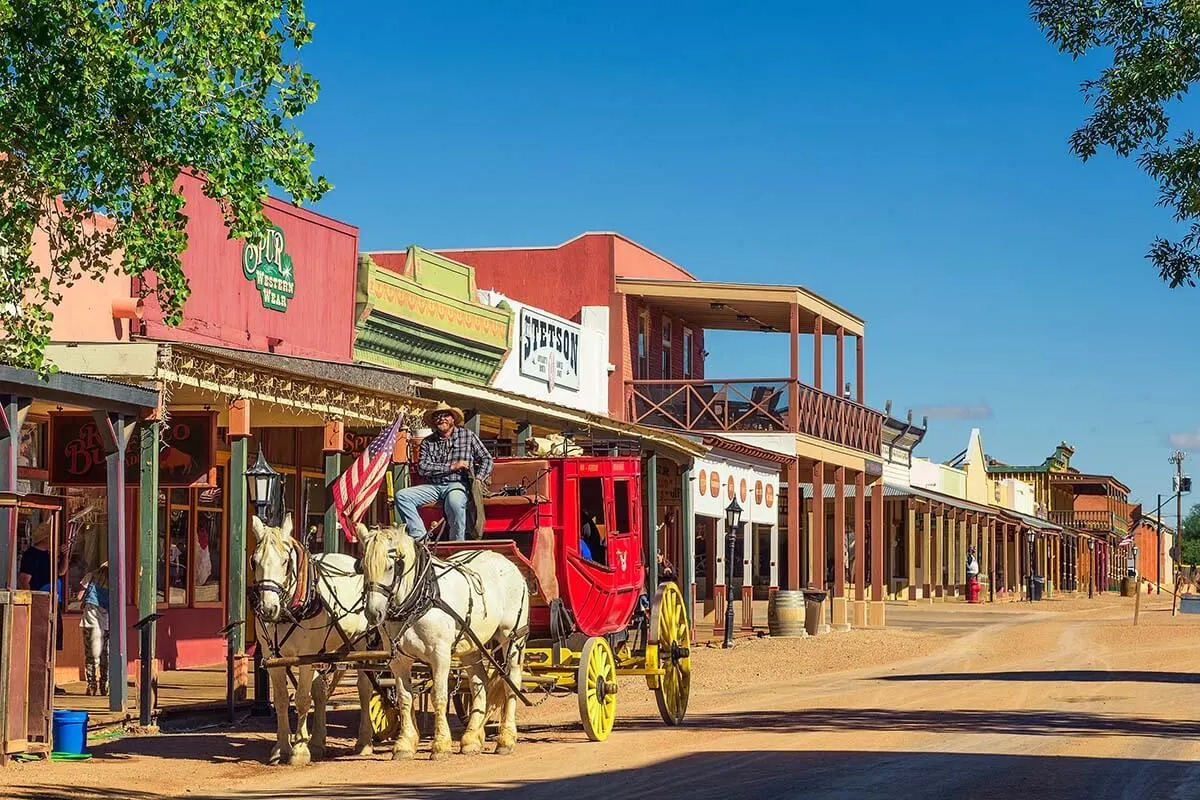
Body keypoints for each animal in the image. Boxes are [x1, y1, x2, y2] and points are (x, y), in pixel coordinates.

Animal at [246, 515, 372, 767]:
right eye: (254, 561)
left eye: (285, 561)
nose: (268, 608)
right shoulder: (273, 658)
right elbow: (283, 700)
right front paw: (283, 747)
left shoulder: (304, 657)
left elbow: (303, 699)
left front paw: (299, 751)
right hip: (326, 651)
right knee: (321, 691)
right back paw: (317, 741)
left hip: (360, 644)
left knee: (364, 688)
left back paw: (363, 742)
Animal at [350, 525, 530, 762]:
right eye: (362, 567)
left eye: (389, 566)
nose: (373, 613)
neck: (420, 599)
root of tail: (507, 562)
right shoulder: (398, 660)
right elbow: (405, 698)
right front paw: (405, 744)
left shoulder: (440, 655)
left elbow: (439, 696)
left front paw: (441, 745)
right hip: (470, 643)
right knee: (479, 682)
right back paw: (471, 739)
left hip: (513, 636)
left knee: (511, 681)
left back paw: (506, 739)